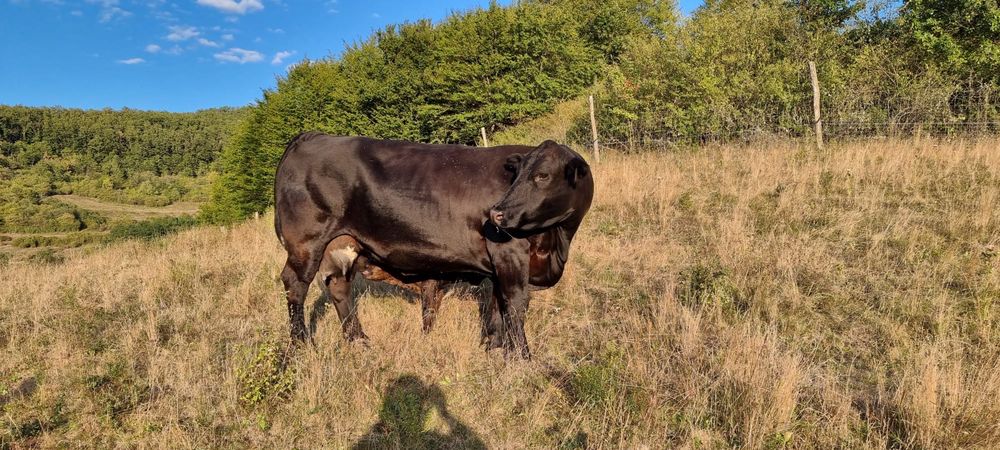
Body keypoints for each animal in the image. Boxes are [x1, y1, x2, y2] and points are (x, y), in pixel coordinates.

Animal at [274, 133, 594, 358]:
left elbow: (496, 306)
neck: (558, 241)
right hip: (306, 244)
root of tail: (311, 135)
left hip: (342, 246)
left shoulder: (497, 266)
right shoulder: (509, 254)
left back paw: (359, 340)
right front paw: (522, 358)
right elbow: (515, 305)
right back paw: (301, 344)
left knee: (339, 288)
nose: (496, 213)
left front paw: (493, 347)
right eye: (518, 175)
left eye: (542, 175)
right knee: (295, 286)